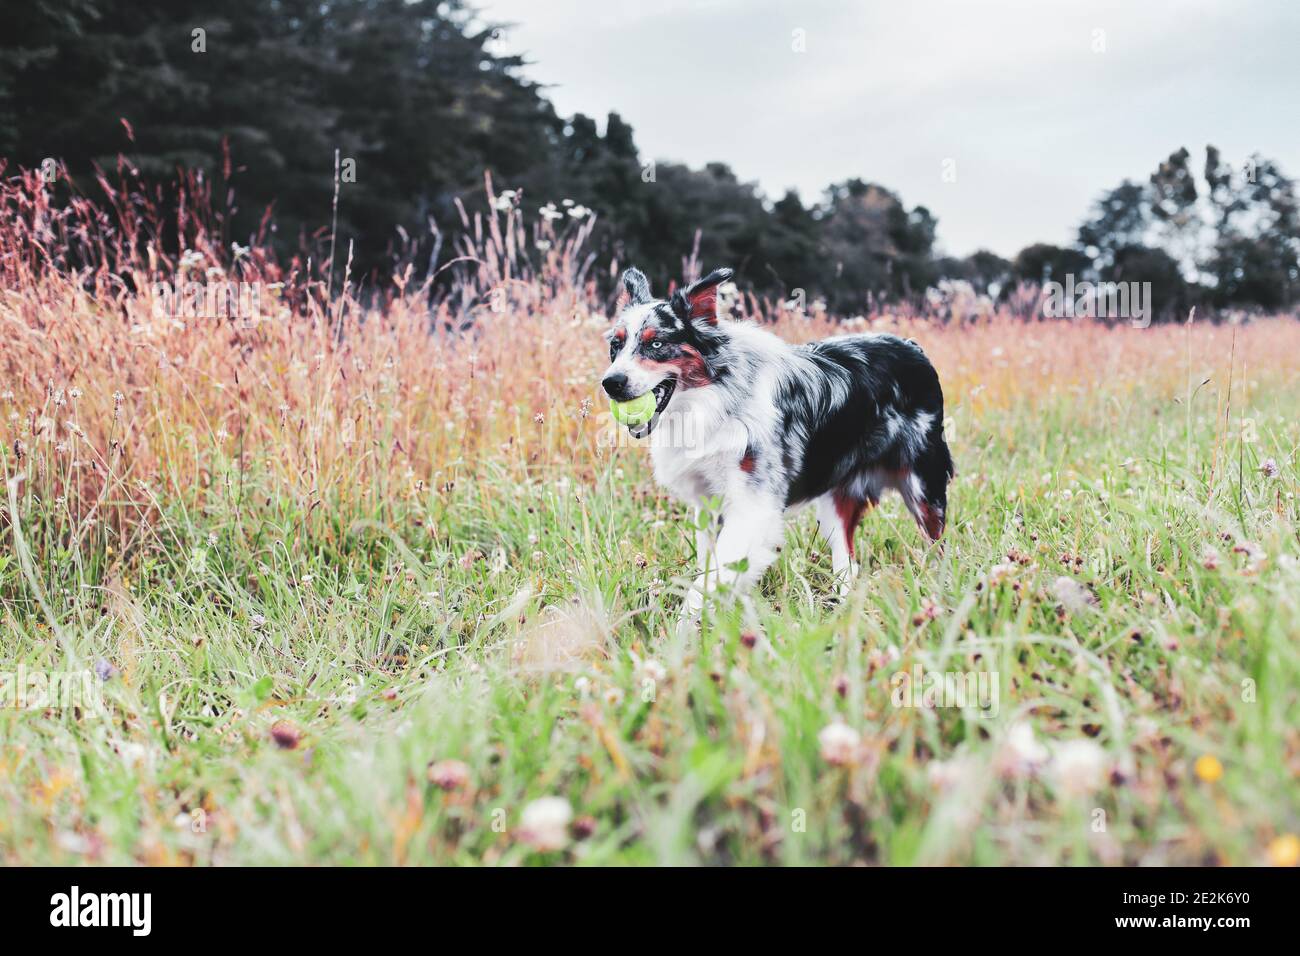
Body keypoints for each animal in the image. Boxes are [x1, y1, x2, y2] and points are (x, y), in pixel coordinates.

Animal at [600, 265, 956, 616]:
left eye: (656, 345)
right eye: (615, 346)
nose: (611, 383)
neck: (714, 398)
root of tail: (911, 346)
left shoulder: (752, 506)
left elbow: (707, 584)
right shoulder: (709, 505)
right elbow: (709, 571)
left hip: (924, 489)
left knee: (937, 548)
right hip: (835, 503)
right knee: (847, 562)